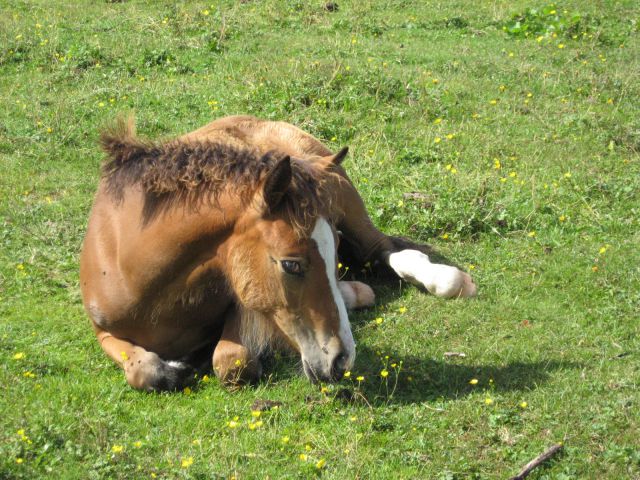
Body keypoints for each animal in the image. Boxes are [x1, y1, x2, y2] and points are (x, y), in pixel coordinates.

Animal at [80, 115, 476, 390]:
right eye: (291, 264)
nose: (341, 360)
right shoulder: (101, 330)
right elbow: (143, 371)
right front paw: (171, 368)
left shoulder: (246, 300)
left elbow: (232, 362)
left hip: (343, 195)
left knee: (382, 248)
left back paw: (445, 280)